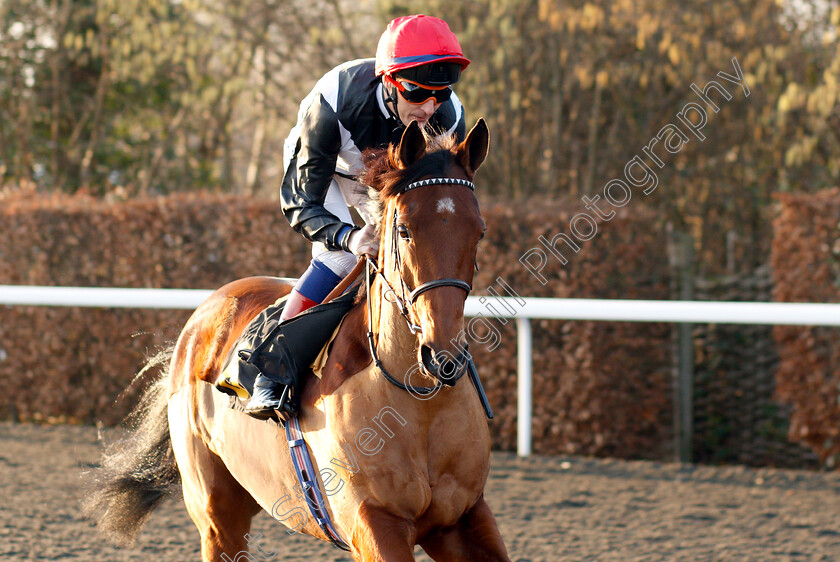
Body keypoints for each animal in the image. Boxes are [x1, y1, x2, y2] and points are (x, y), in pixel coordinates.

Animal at [85, 119, 508, 560]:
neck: (419, 401)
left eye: (479, 232)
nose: (442, 355)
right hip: (217, 513)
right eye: (404, 229)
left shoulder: (462, 517)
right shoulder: (374, 522)